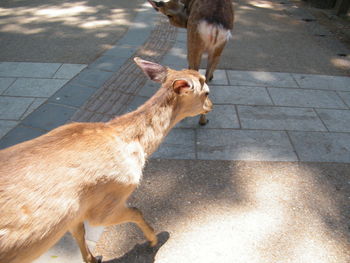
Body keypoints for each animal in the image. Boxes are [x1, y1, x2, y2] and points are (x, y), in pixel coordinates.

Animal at [0, 58, 213, 263]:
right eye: (206, 93)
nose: (211, 106)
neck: (137, 147)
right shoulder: (107, 201)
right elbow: (136, 210)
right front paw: (154, 239)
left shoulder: (75, 214)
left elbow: (79, 233)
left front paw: (94, 258)